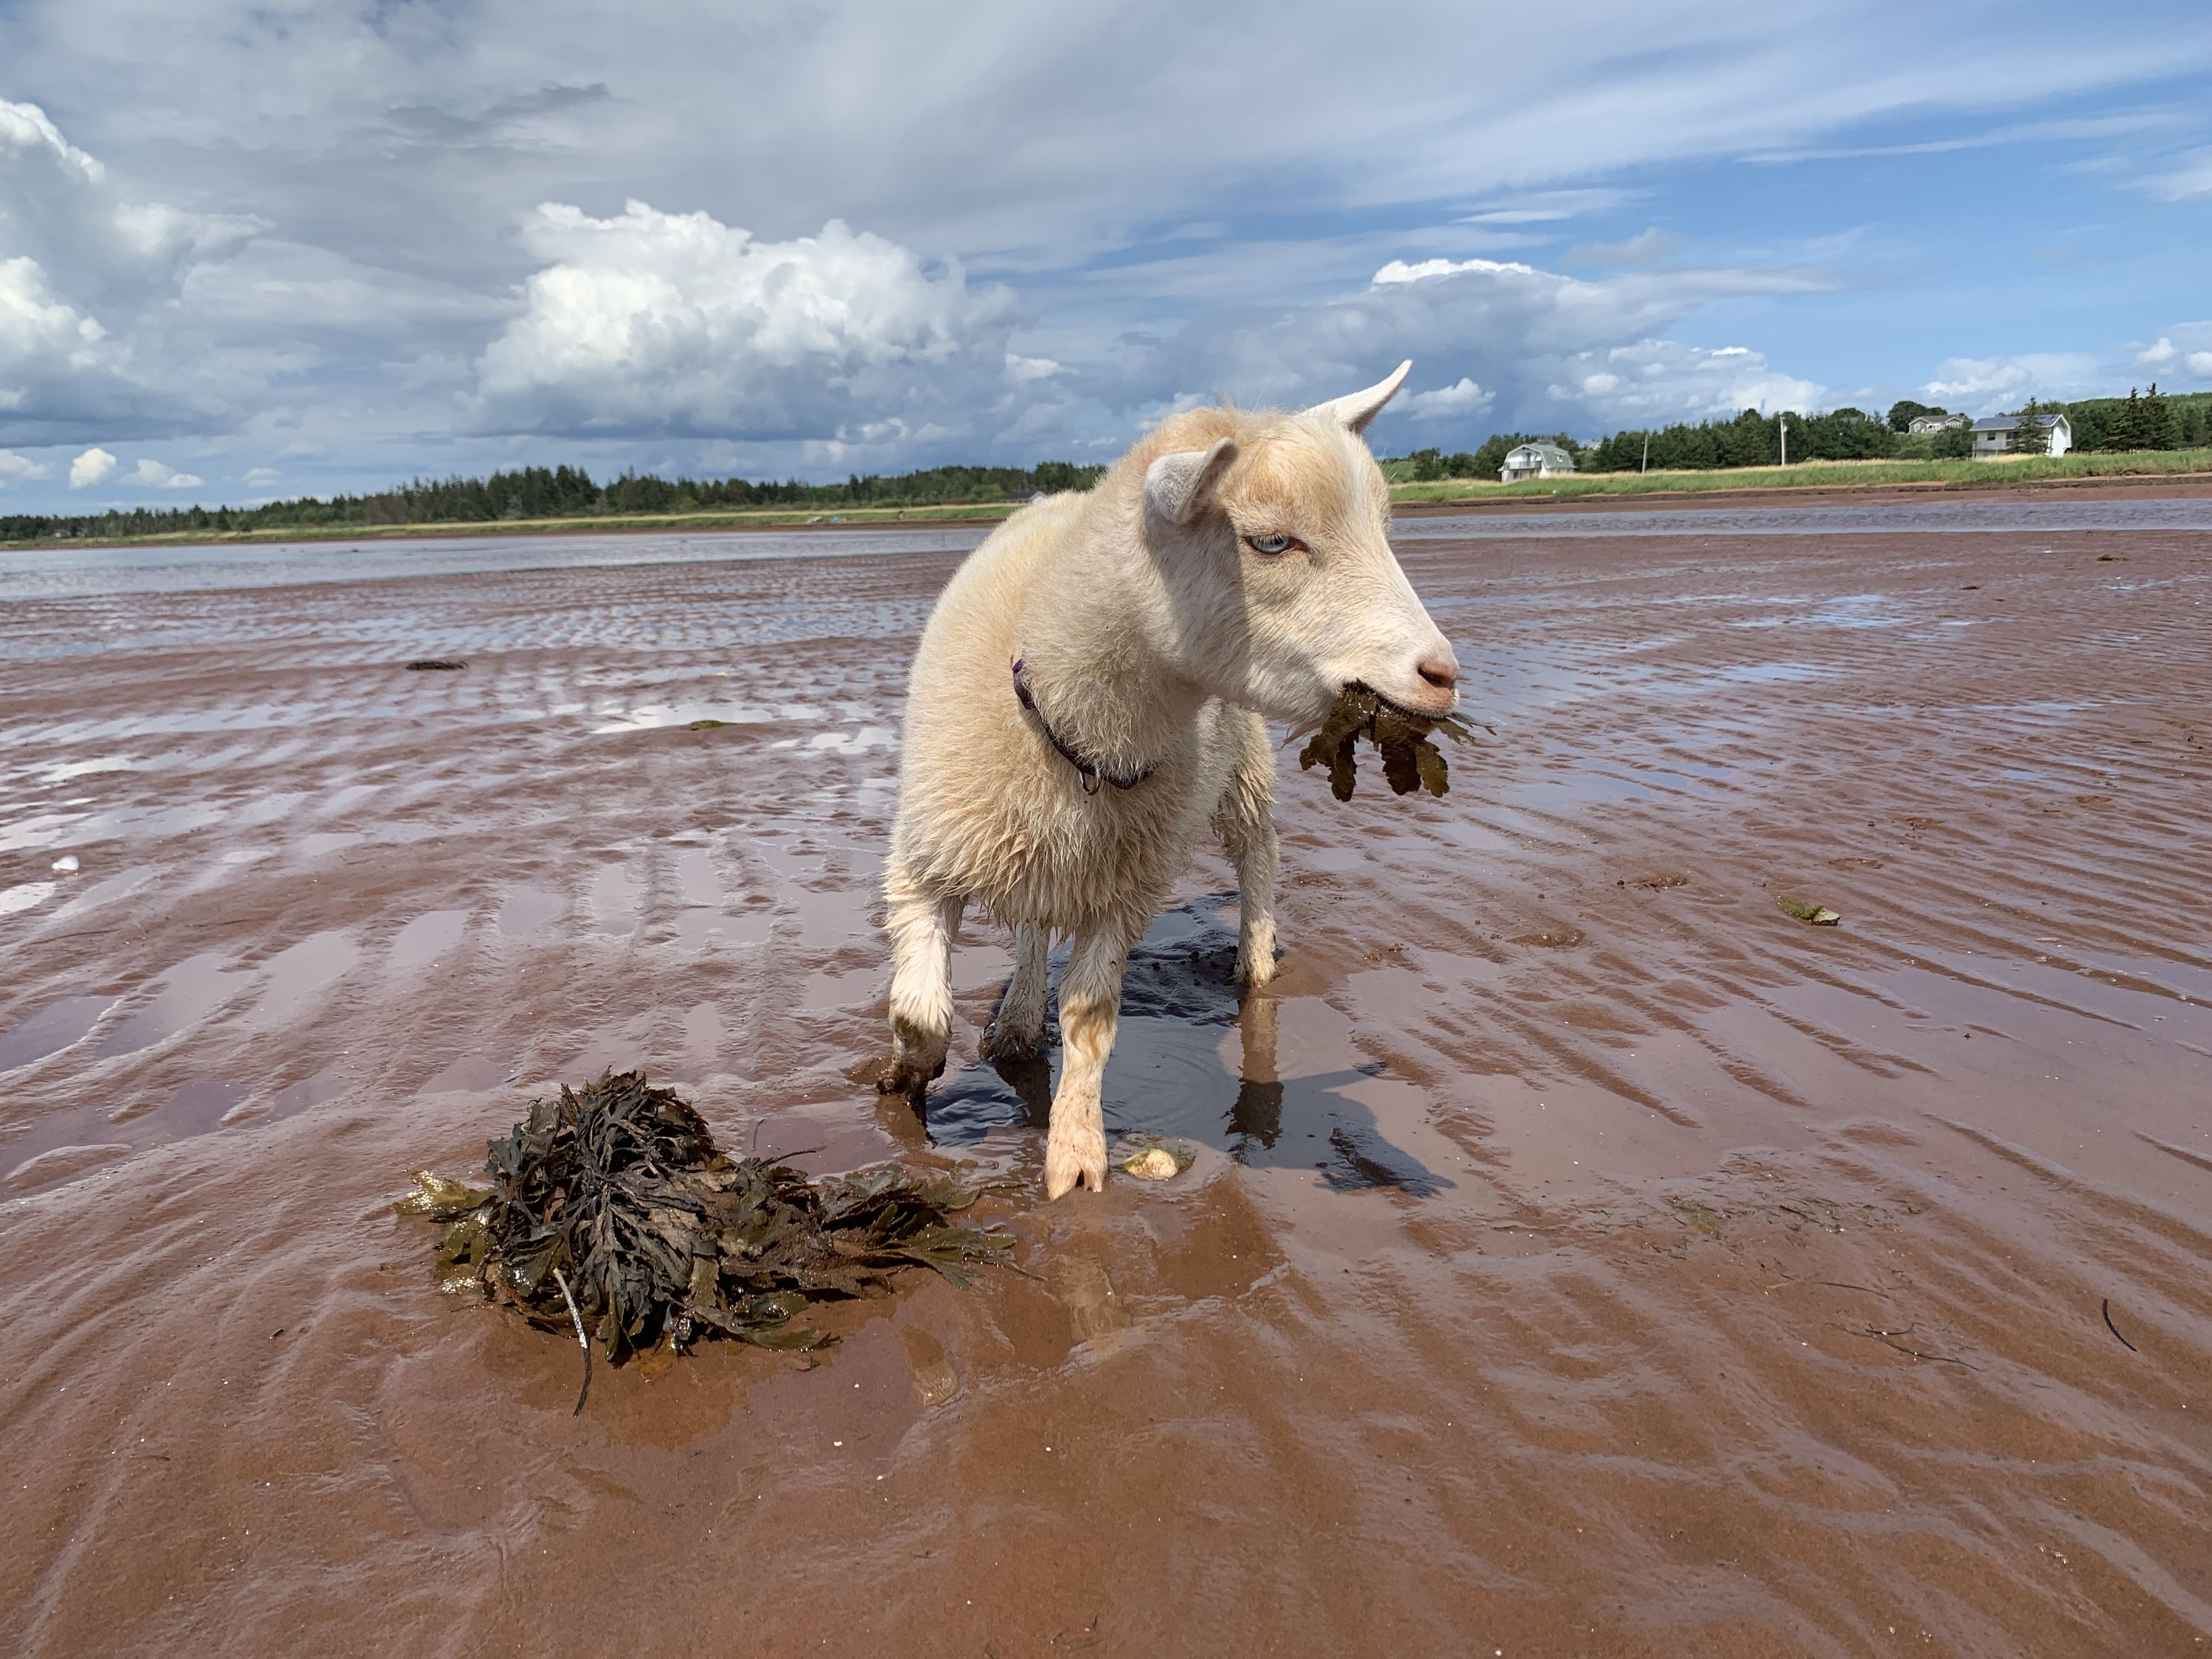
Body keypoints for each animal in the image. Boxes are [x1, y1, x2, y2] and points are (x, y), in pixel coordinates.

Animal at [872, 361, 1460, 1194]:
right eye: (1271, 541)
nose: (1442, 677)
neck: (1072, 729)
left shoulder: (1125, 889)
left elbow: (1090, 1018)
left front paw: (1076, 1156)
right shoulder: (927, 859)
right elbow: (920, 1015)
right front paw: (906, 1079)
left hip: (1239, 765)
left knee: (1259, 855)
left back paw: (1254, 963)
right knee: (1034, 922)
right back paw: (1016, 1020)